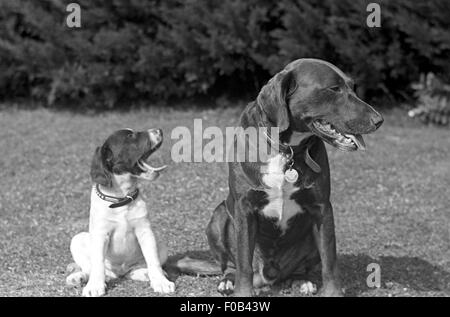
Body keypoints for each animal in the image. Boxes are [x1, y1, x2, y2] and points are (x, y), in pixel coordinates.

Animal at [66, 127, 175, 296]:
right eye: (130, 136)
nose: (159, 130)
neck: (121, 198)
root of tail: (119, 273)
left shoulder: (145, 231)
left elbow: (153, 260)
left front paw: (160, 282)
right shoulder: (100, 234)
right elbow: (97, 263)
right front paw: (94, 286)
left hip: (160, 243)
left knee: (136, 269)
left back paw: (144, 273)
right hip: (77, 239)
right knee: (91, 268)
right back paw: (80, 277)